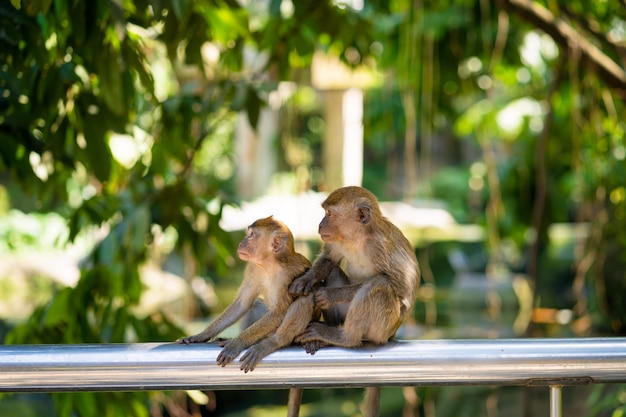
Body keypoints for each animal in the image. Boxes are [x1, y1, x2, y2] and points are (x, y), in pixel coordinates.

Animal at [288, 186, 420, 416]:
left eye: (329, 214)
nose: (320, 224)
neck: (358, 239)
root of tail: (393, 334)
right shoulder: (337, 241)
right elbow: (329, 259)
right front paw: (305, 280)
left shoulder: (380, 247)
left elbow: (401, 287)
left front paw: (330, 295)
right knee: (333, 271)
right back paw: (324, 334)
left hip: (383, 329)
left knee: (378, 286)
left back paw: (343, 337)